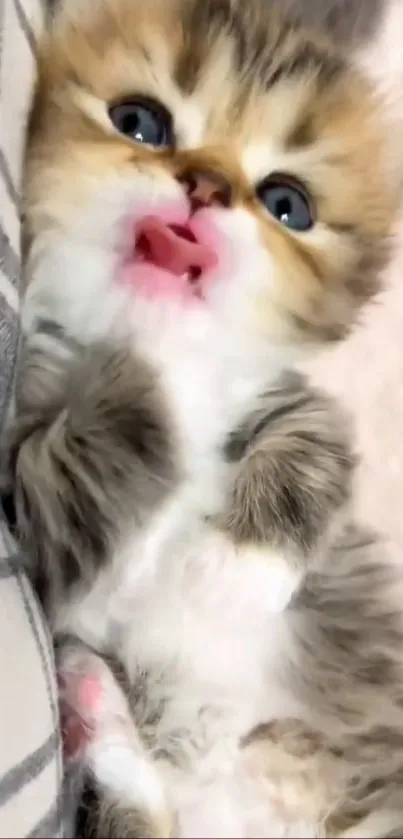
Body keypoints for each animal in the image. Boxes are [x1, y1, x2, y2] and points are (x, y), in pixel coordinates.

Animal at [5, 0, 403, 836]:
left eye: (286, 204)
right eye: (139, 122)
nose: (208, 187)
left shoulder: (280, 391)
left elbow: (313, 434)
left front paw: (235, 570)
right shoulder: (32, 500)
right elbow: (75, 476)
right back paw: (89, 698)